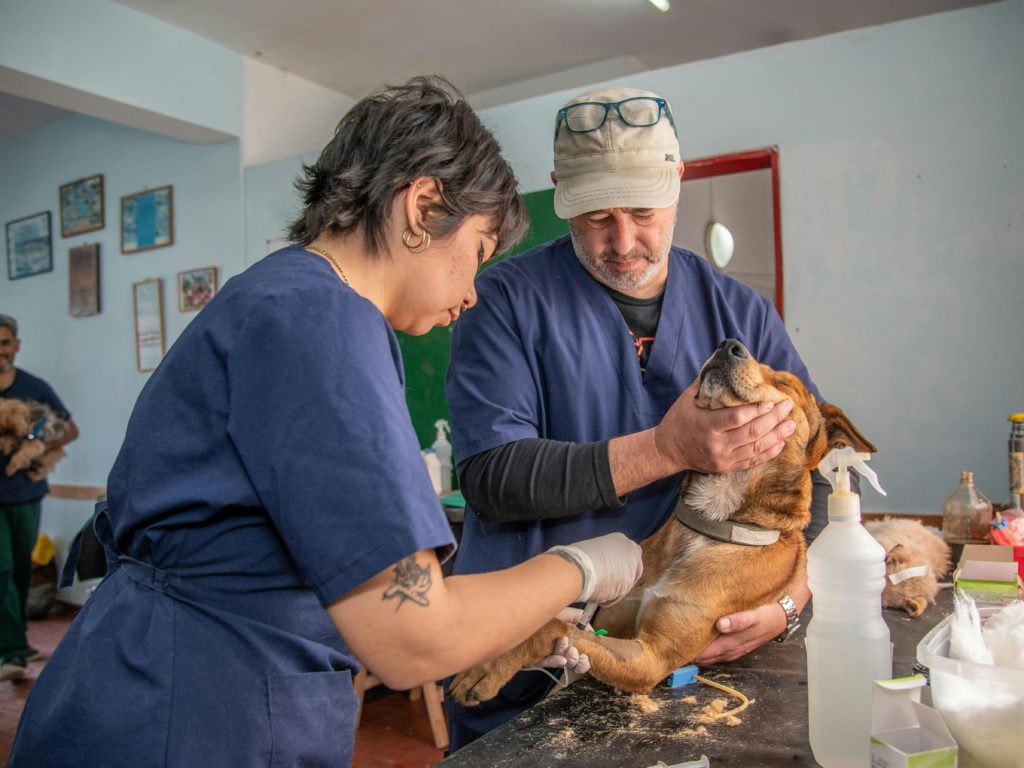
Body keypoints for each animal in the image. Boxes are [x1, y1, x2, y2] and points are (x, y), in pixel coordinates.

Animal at [452, 335, 876, 704]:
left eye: (785, 383)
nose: (727, 344)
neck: (712, 523)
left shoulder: (651, 658)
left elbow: (556, 626)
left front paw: (488, 667)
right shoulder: (613, 620)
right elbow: (562, 628)